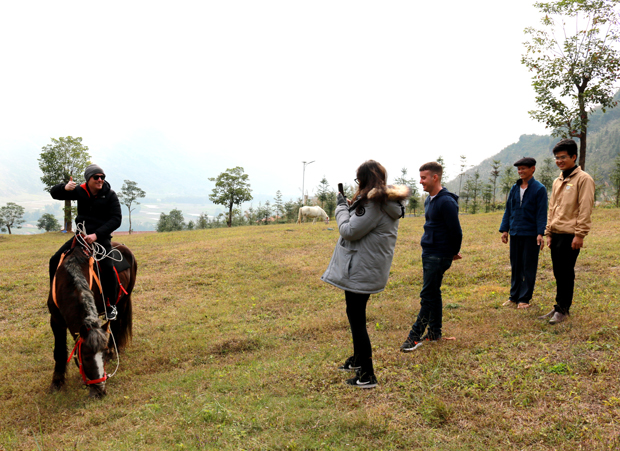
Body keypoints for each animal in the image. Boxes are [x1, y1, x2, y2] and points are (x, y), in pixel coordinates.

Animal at [47, 238, 137, 398]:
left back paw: (115, 352)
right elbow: (59, 352)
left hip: (123, 301)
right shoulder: (56, 321)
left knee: (116, 326)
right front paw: (57, 382)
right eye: (86, 356)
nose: (100, 391)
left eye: (103, 354)